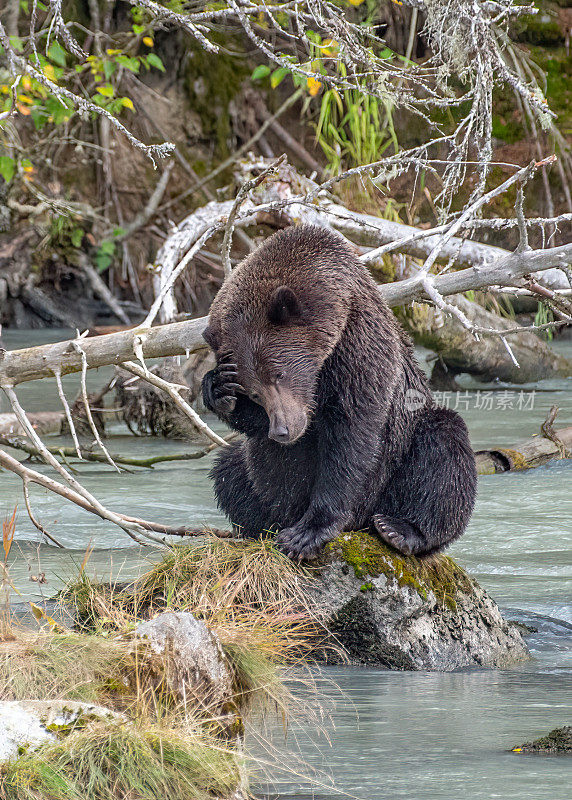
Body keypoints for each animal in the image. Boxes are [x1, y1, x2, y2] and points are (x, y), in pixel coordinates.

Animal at [202, 225, 478, 560]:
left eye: (279, 373)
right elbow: (258, 432)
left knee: (444, 450)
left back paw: (401, 530)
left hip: (398, 463)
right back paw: (260, 527)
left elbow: (352, 437)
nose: (282, 430)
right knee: (231, 470)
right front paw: (218, 388)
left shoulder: (359, 350)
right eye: (254, 392)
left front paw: (308, 533)